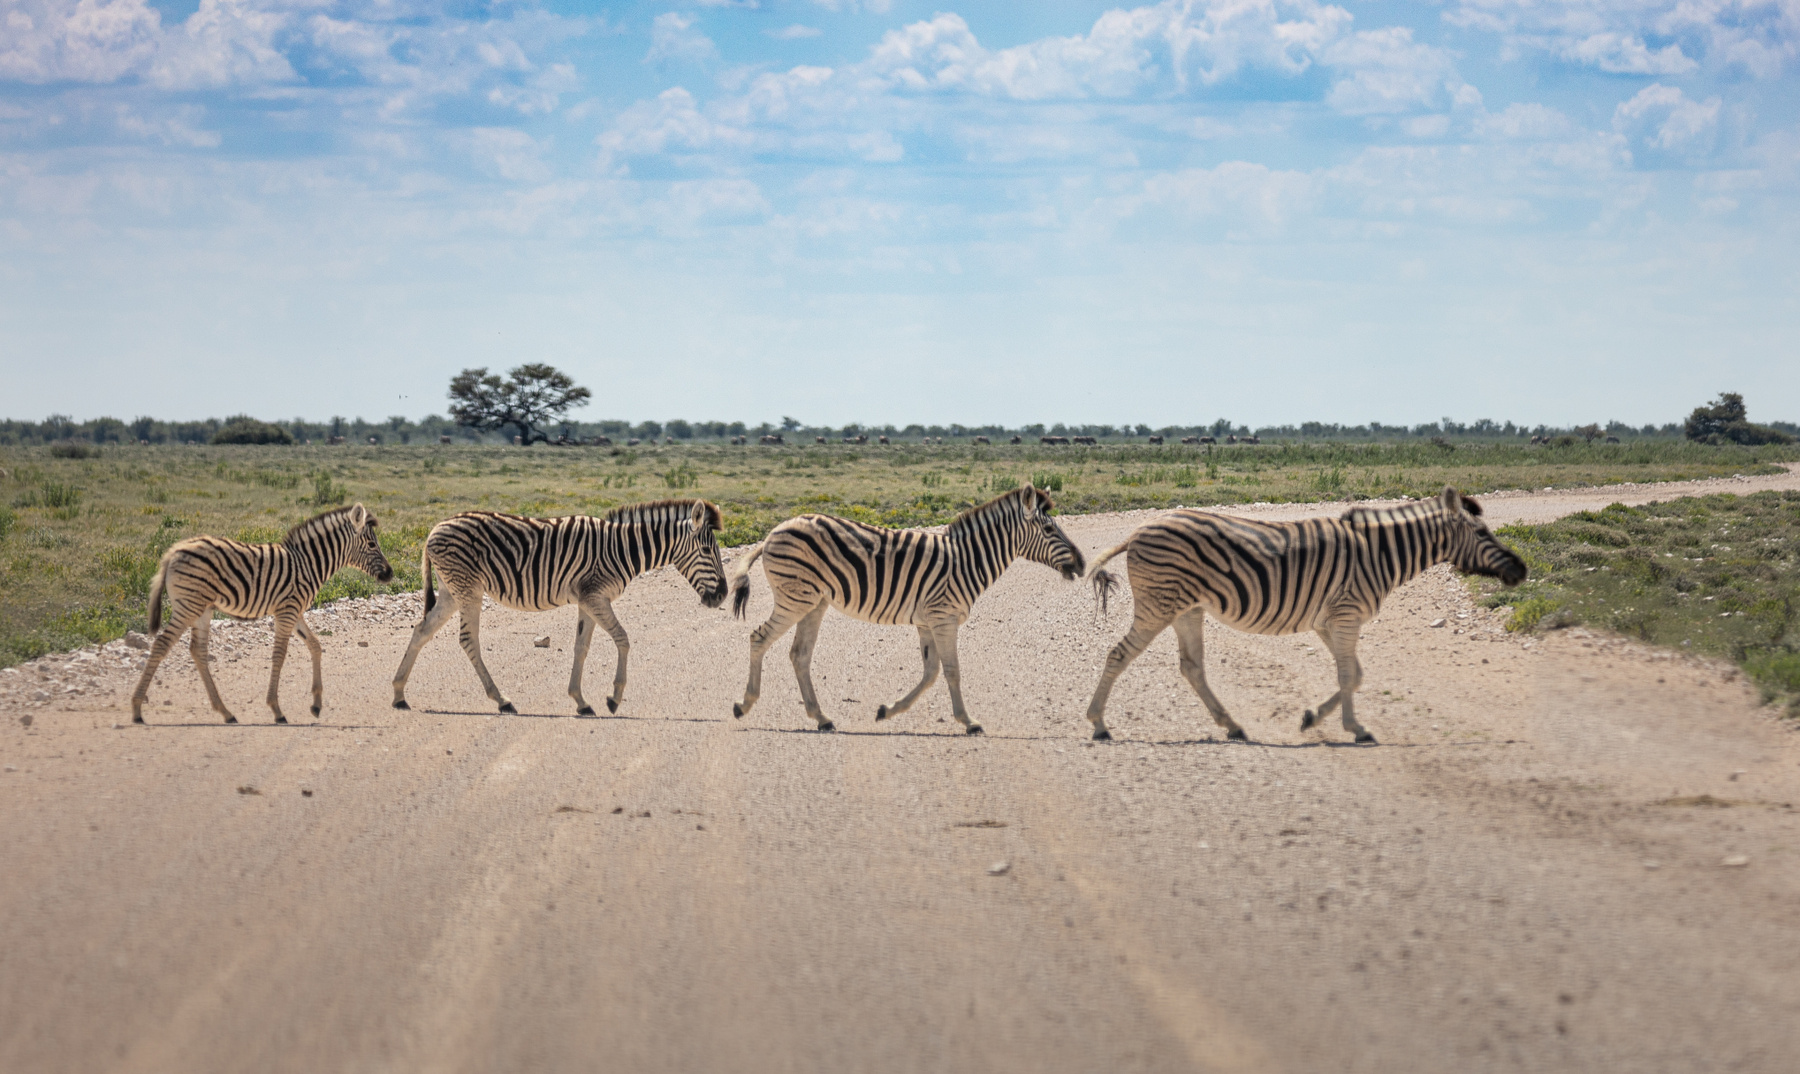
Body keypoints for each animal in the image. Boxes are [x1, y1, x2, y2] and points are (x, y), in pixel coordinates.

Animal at [127, 500, 394, 719]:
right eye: (372, 544)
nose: (390, 574)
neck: (308, 564)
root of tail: (174, 551)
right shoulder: (287, 611)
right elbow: (280, 654)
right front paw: (276, 709)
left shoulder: (294, 610)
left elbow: (315, 645)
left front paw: (317, 703)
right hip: (189, 606)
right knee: (162, 644)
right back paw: (137, 708)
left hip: (202, 608)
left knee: (198, 651)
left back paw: (225, 712)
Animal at [390, 500, 727, 716]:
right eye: (707, 550)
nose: (723, 595)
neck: (622, 549)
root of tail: (435, 528)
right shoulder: (595, 596)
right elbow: (623, 639)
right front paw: (614, 697)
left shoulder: (588, 600)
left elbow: (581, 646)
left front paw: (581, 701)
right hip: (467, 587)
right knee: (467, 639)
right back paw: (502, 700)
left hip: (451, 591)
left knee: (421, 630)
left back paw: (399, 694)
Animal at [727, 482, 1080, 730]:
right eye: (1049, 529)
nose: (1081, 562)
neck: (966, 561)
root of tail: (772, 533)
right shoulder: (943, 617)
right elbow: (952, 670)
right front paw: (968, 722)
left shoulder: (927, 621)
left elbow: (930, 672)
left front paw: (888, 710)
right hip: (795, 599)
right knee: (759, 638)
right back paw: (744, 705)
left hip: (814, 602)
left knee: (799, 654)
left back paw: (821, 718)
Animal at [1072, 489, 1526, 744]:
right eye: (1482, 534)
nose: (1522, 571)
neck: (1379, 554)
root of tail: (1138, 530)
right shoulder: (1345, 615)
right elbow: (1348, 675)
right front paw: (1355, 730)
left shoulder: (1331, 620)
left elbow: (1354, 675)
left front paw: (1312, 719)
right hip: (1160, 604)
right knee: (1119, 654)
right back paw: (1098, 724)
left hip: (1187, 608)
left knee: (1192, 667)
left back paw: (1232, 726)